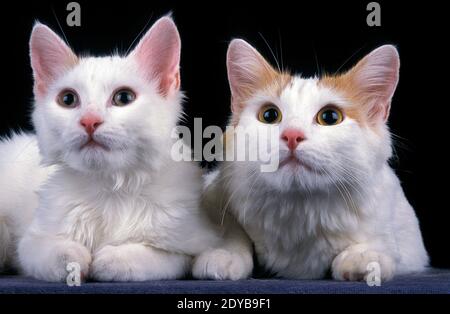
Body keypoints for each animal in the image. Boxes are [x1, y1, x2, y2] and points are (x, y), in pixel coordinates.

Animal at [206, 39, 428, 282]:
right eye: (269, 115)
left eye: (330, 117)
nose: (292, 135)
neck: (298, 209)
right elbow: (232, 232)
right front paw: (224, 254)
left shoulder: (407, 236)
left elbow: (382, 244)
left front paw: (363, 257)